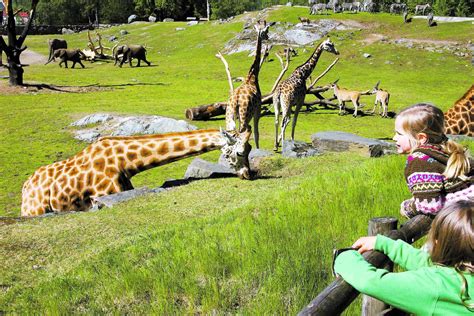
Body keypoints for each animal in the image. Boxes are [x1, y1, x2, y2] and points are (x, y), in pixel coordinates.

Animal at [20, 129, 252, 217]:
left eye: (250, 149)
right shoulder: (103, 195)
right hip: (34, 211)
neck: (126, 164)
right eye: (240, 152)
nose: (249, 174)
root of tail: (25, 188)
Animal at [225, 21, 272, 149]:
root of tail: (236, 101)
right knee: (241, 133)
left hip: (230, 116)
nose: (268, 37)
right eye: (266, 30)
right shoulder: (258, 108)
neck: (252, 77)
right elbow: (256, 133)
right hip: (244, 116)